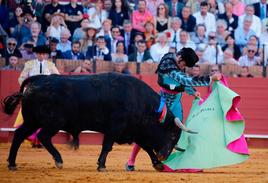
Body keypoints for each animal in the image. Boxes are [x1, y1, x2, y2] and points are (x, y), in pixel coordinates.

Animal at [2, 72, 191, 171]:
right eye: (172, 134)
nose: (164, 156)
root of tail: (38, 79)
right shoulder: (115, 127)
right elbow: (107, 146)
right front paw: (101, 165)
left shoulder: (136, 130)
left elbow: (146, 147)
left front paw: (157, 164)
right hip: (52, 123)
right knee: (43, 137)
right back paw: (59, 160)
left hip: (32, 121)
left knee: (19, 135)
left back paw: (12, 163)